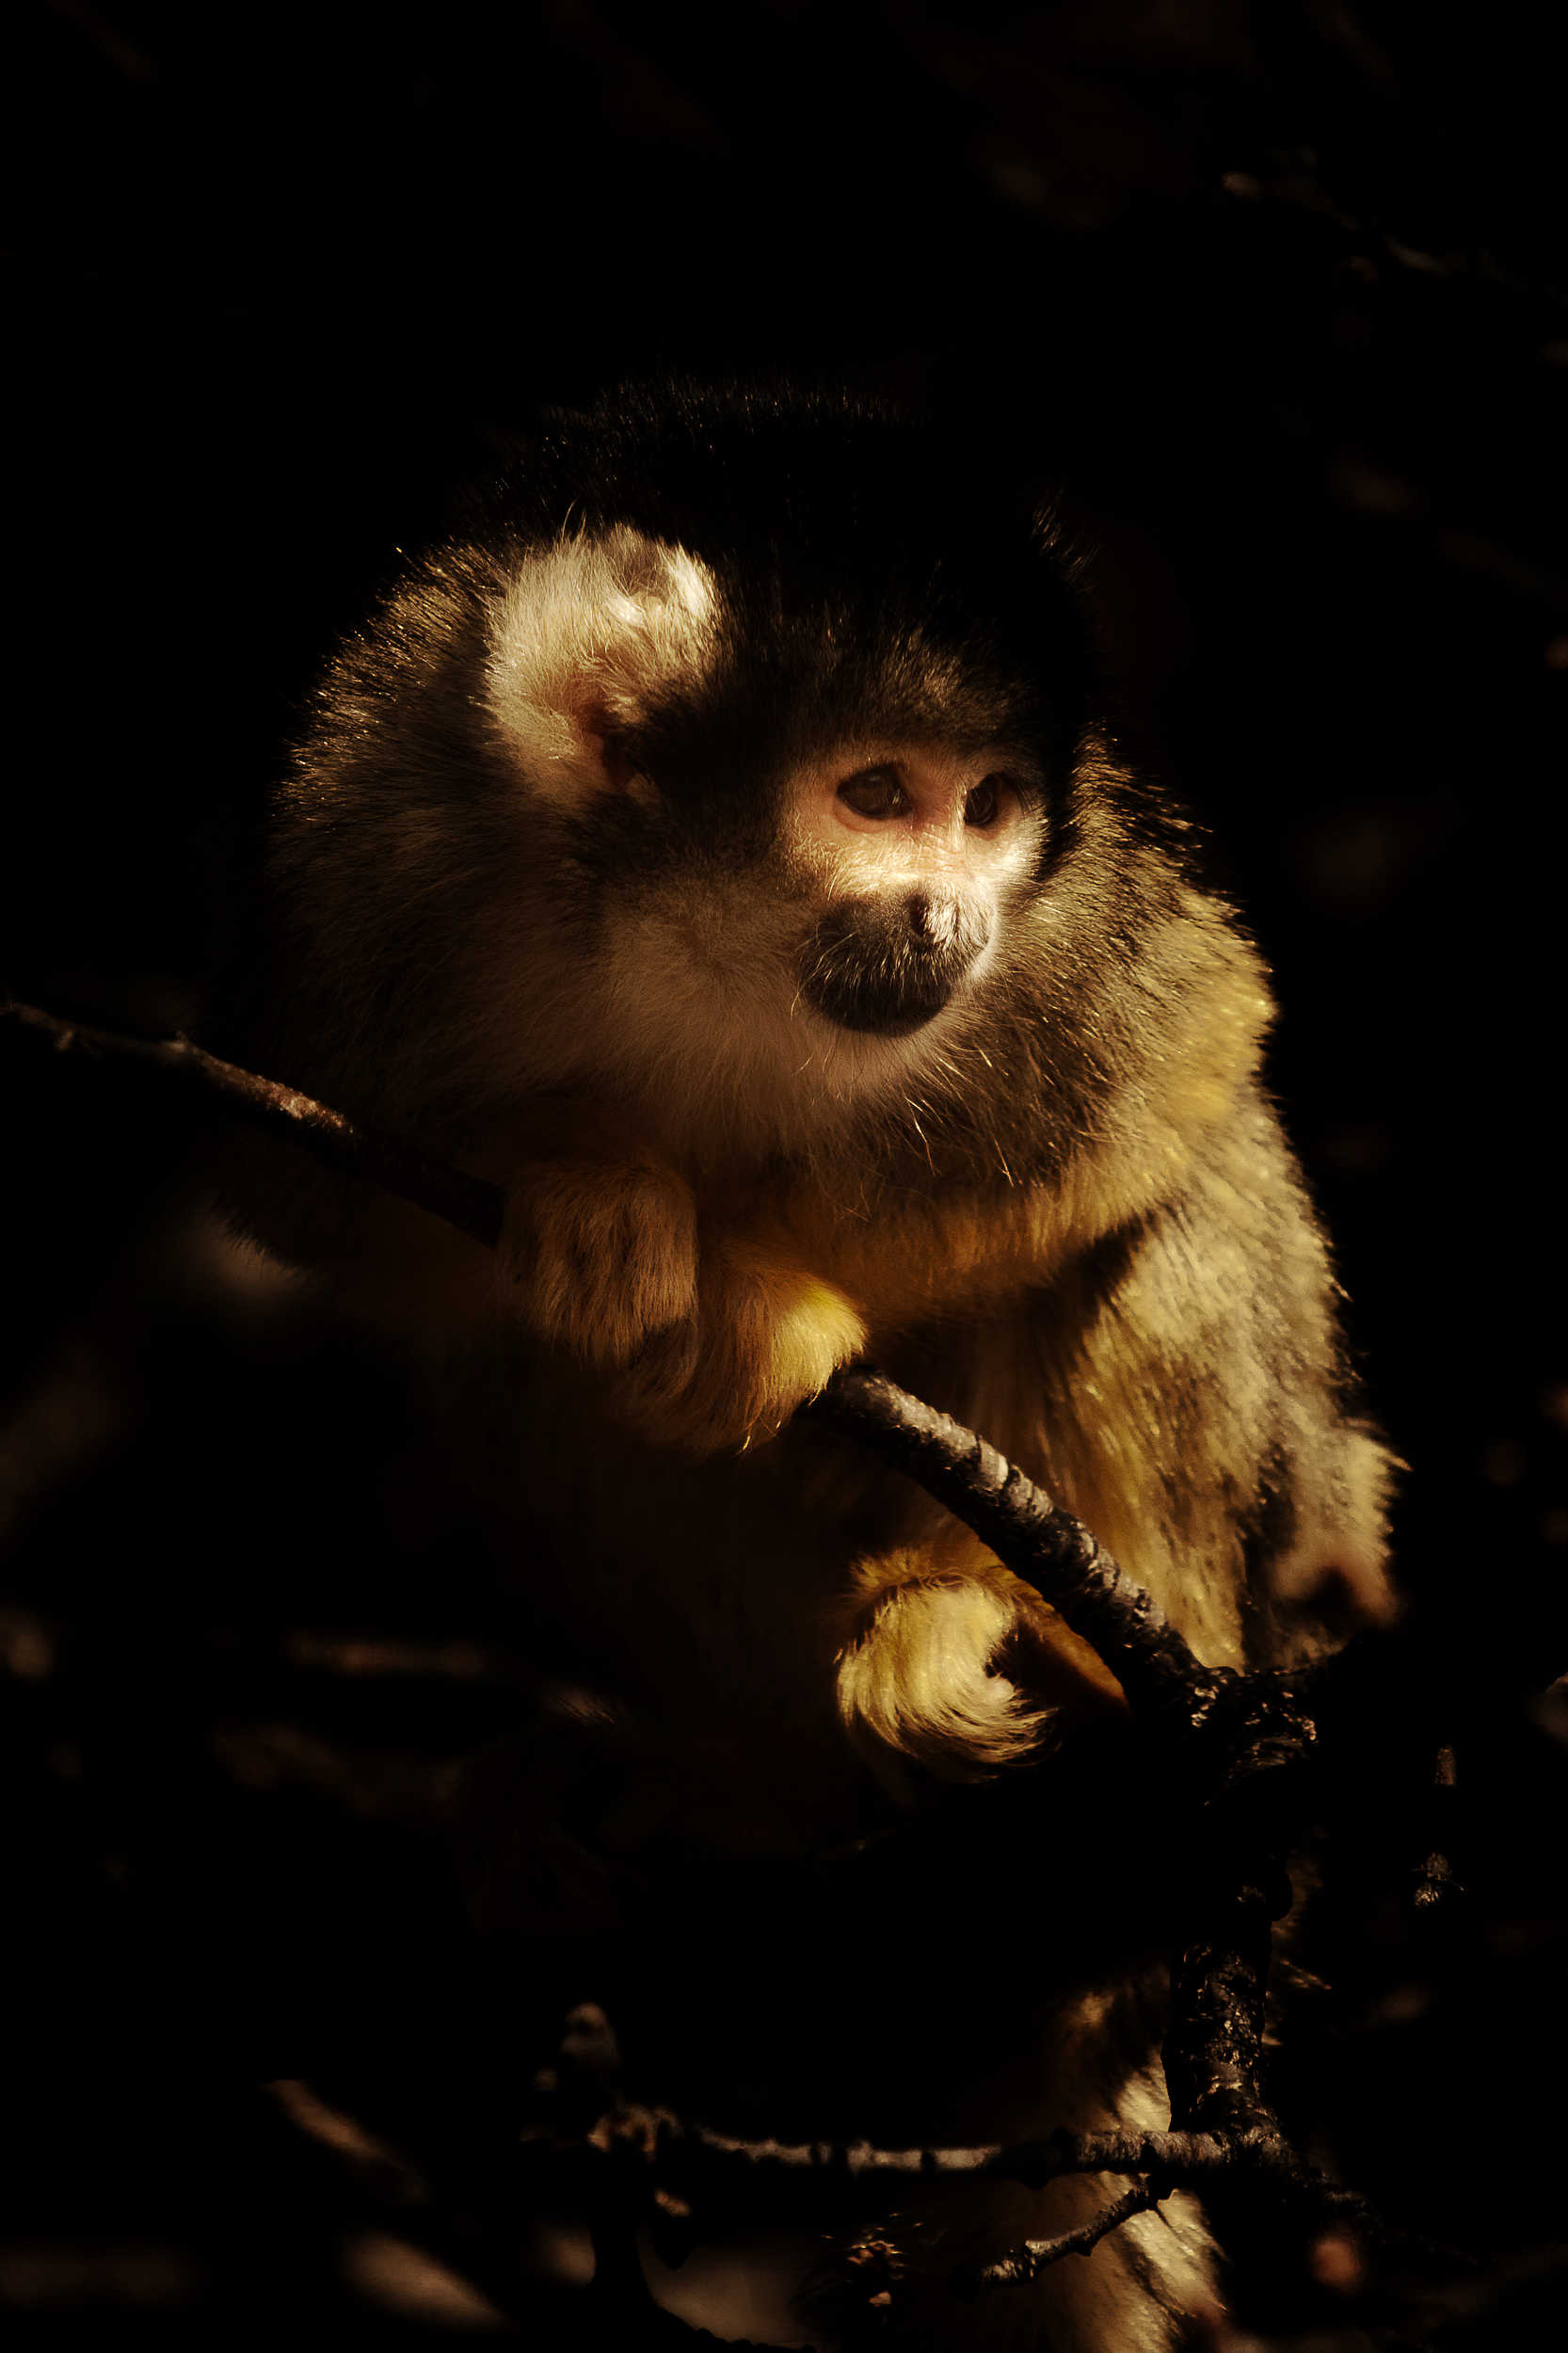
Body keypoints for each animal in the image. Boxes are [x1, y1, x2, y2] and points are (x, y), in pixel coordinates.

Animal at [224, 377, 1395, 2347]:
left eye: (992, 812)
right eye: (875, 798)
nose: (953, 920)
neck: (698, 931)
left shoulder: (1079, 924)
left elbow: (1175, 1074)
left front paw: (767, 1295)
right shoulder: (381, 833)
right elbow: (321, 1188)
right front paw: (592, 1186)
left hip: (1288, 1554)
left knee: (1180, 1213)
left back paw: (1083, 1637)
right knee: (522, 1368)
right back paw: (725, 1784)